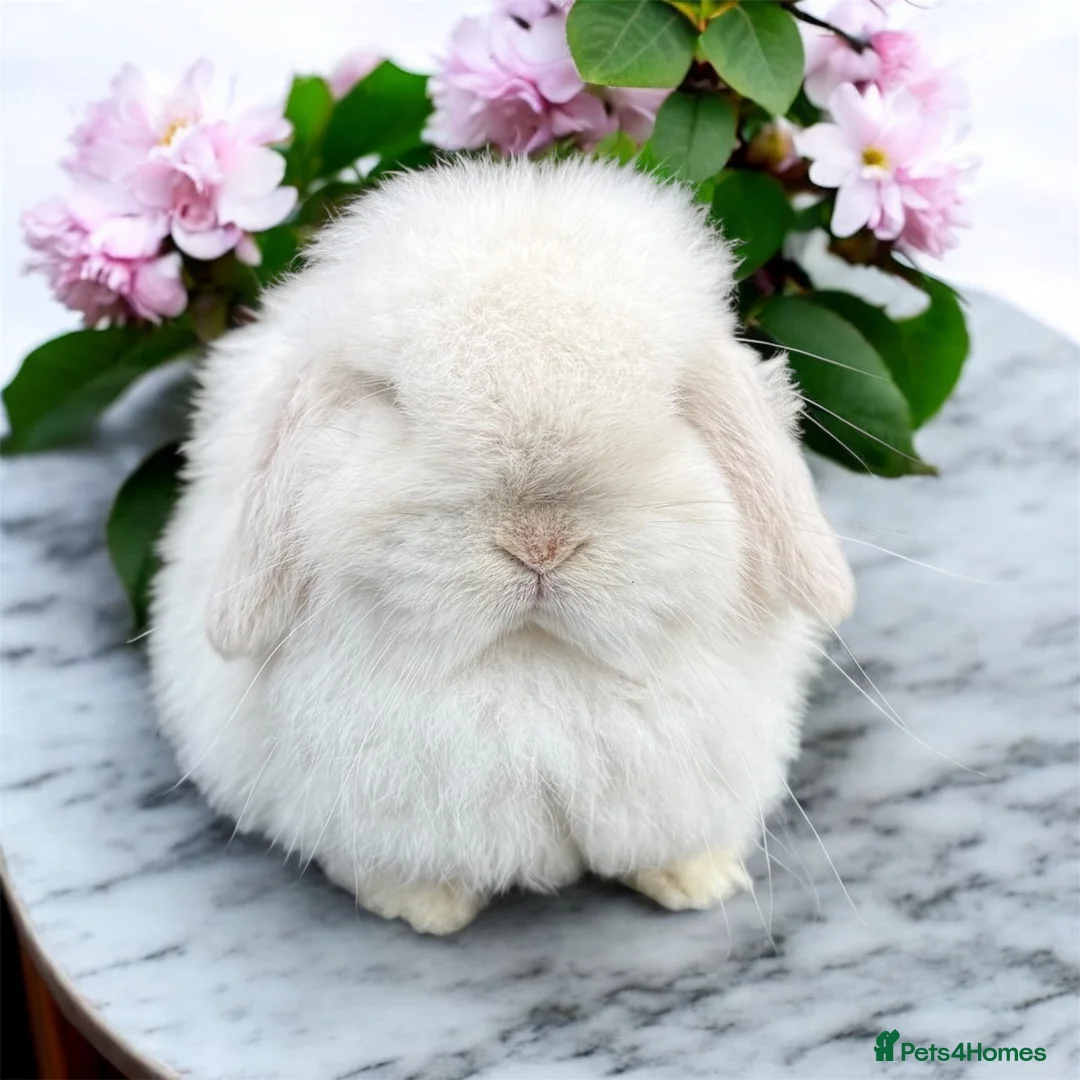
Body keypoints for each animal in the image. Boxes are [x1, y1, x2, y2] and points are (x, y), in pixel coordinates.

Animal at [148, 156, 854, 935]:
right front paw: (425, 908)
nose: (539, 544)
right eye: (395, 402)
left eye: (673, 403)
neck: (532, 669)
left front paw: (700, 880)